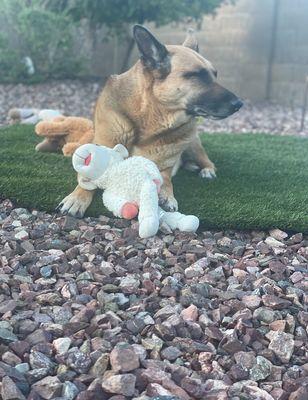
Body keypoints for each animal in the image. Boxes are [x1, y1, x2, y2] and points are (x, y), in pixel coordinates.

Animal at [57, 25, 241, 217]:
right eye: (197, 75)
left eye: (215, 75)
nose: (239, 104)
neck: (148, 119)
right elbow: (87, 179)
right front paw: (77, 198)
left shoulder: (163, 168)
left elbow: (166, 179)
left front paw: (167, 195)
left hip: (192, 142)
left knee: (207, 161)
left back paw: (206, 170)